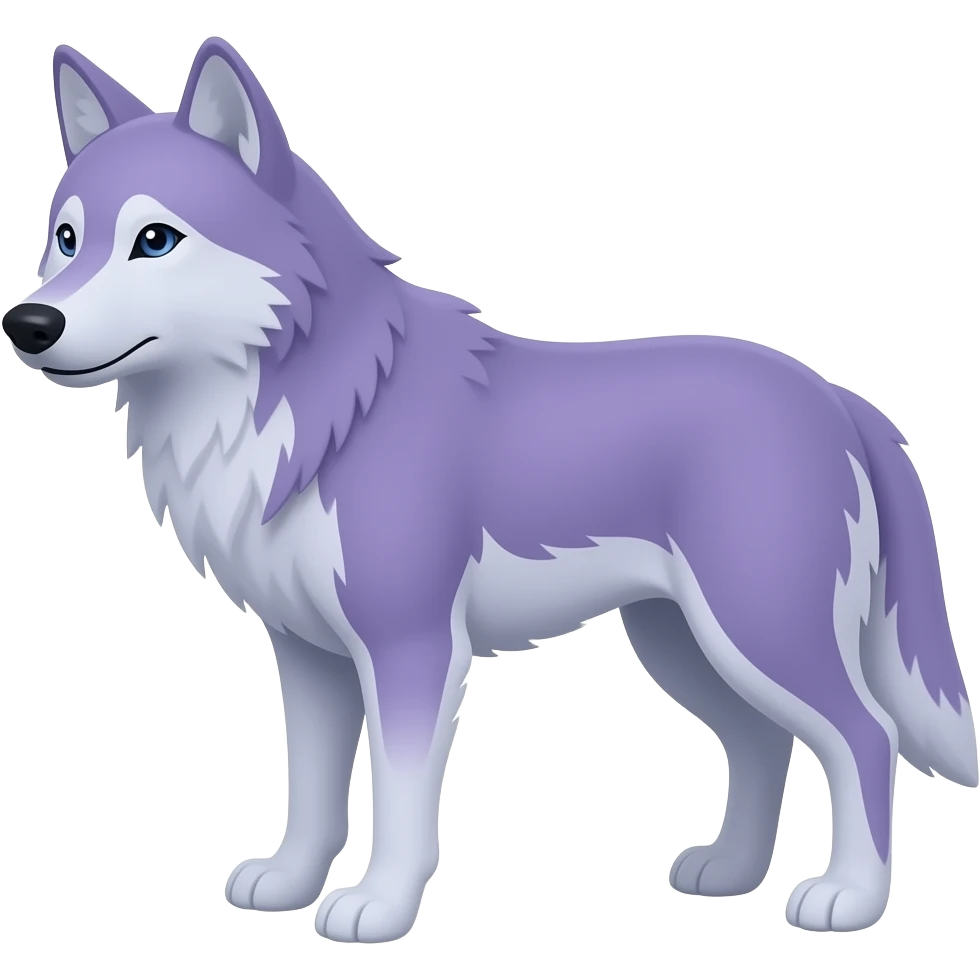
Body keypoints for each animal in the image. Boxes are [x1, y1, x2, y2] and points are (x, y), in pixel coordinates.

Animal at [2, 36, 975, 943]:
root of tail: (835, 396)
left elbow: (398, 801)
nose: (29, 323)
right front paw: (286, 886)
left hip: (758, 631)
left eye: (156, 240)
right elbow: (309, 791)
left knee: (865, 736)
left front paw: (377, 909)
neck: (326, 407)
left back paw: (849, 899)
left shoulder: (412, 646)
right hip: (685, 645)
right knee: (765, 741)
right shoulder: (309, 655)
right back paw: (730, 872)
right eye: (66, 240)